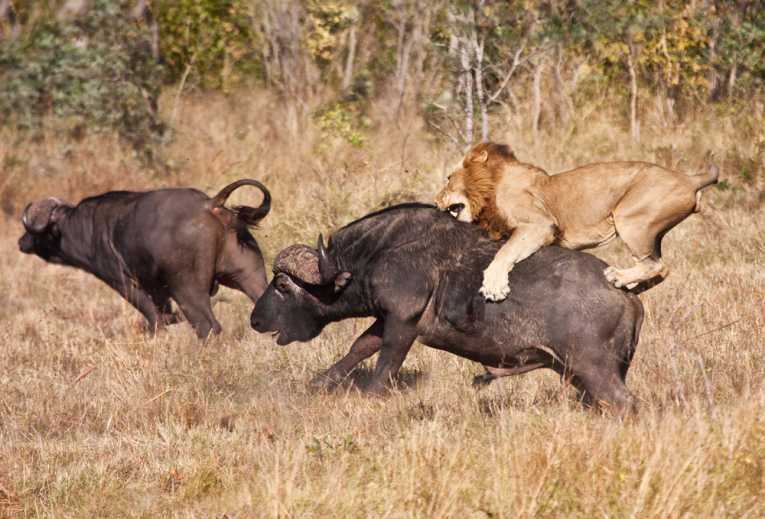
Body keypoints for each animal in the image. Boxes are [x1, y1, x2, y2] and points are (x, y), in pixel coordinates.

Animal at [435, 142, 719, 301]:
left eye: (448, 178)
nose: (435, 200)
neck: (490, 187)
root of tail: (689, 178)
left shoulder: (540, 224)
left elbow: (505, 252)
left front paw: (494, 286)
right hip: (649, 230)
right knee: (662, 268)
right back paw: (628, 284)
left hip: (630, 219)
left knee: (656, 265)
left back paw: (617, 276)